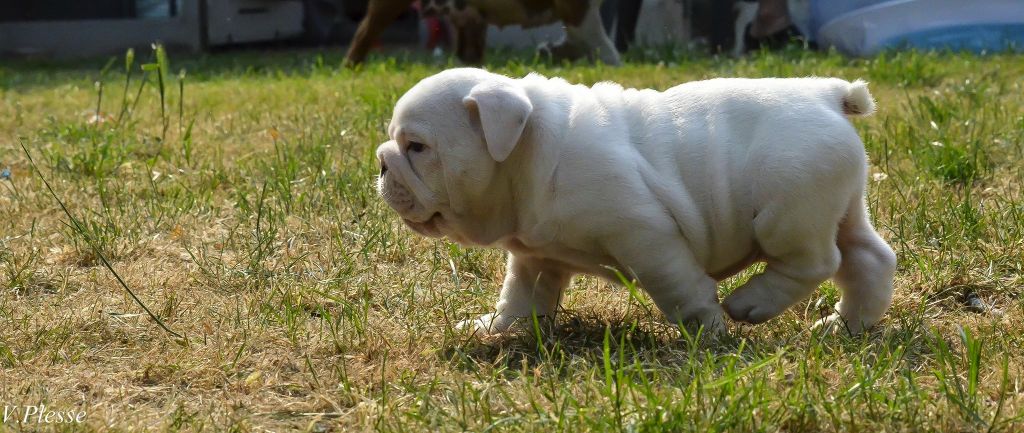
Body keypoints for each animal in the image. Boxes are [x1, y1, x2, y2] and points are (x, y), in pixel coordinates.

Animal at [376, 68, 897, 336]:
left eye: (416, 147)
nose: (381, 162)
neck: (528, 151)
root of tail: (827, 94)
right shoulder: (535, 255)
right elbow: (521, 294)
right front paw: (495, 327)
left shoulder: (645, 234)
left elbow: (677, 285)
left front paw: (704, 329)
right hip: (841, 208)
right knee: (868, 258)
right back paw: (845, 325)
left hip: (786, 213)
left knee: (815, 261)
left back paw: (752, 303)